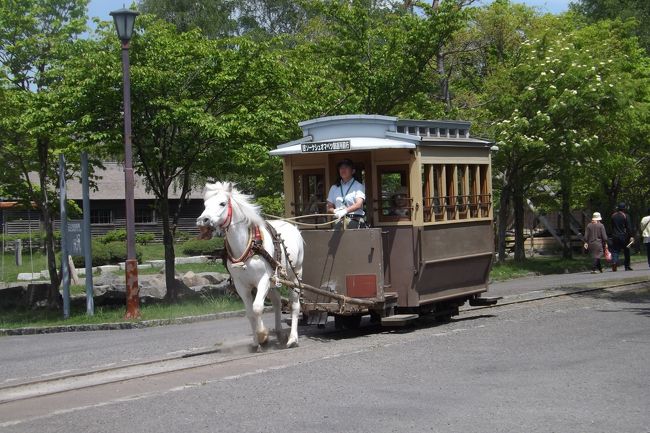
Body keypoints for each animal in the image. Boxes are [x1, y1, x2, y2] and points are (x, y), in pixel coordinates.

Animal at [195, 181, 304, 350]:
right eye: (205, 204)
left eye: (222, 203)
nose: (203, 220)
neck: (248, 247)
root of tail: (292, 226)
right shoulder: (241, 285)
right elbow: (250, 312)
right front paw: (256, 341)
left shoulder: (263, 279)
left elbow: (257, 307)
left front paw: (263, 335)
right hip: (274, 280)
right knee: (277, 301)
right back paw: (279, 333)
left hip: (295, 274)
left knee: (294, 305)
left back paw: (292, 338)